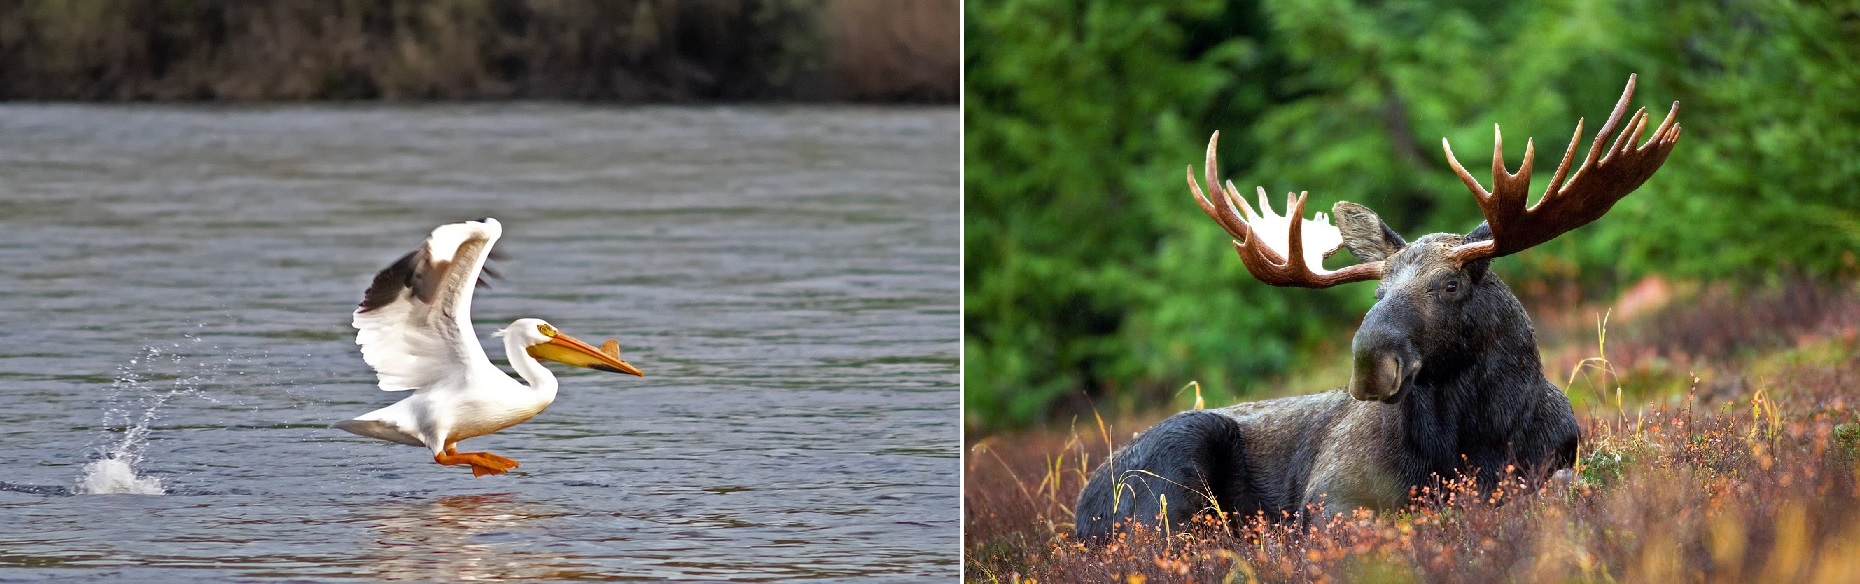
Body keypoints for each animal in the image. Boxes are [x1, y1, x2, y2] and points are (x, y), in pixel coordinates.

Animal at [1071, 75, 1681, 539]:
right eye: (1377, 292)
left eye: (1450, 285)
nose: (1370, 362)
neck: (1473, 439)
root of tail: (1080, 511)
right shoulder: (1330, 495)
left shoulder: (1554, 462)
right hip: (1170, 472)